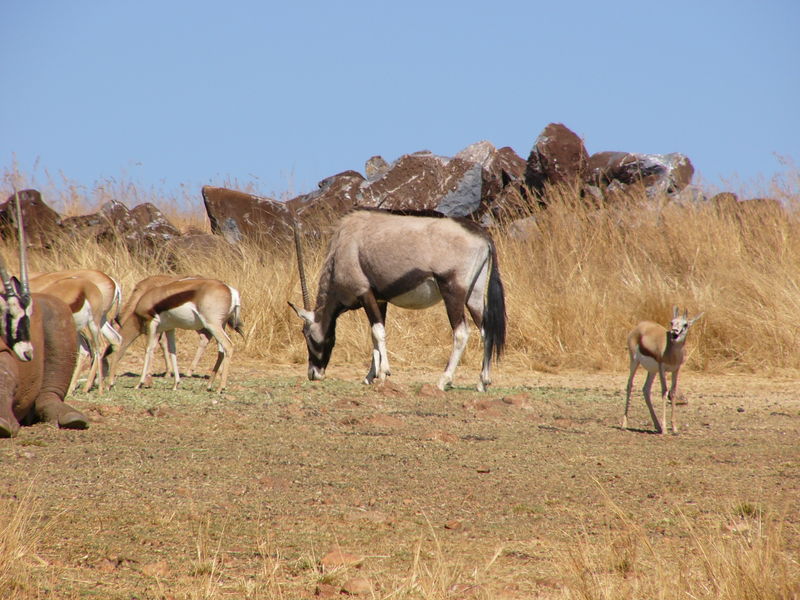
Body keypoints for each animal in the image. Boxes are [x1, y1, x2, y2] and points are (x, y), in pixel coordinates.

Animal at [106, 278, 244, 392]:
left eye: (111, 348)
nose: (109, 383)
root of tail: (231, 291)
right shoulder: (170, 328)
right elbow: (173, 351)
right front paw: (176, 384)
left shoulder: (152, 324)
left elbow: (149, 350)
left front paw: (139, 383)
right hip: (221, 325)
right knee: (221, 351)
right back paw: (209, 385)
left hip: (212, 325)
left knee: (228, 346)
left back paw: (220, 388)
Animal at [290, 209, 506, 392]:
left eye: (307, 335)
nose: (313, 373)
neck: (343, 245)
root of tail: (482, 235)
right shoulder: (380, 300)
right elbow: (375, 335)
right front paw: (370, 375)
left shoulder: (365, 293)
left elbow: (377, 332)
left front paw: (383, 373)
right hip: (474, 295)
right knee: (486, 331)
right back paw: (483, 382)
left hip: (453, 291)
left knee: (461, 333)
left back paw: (443, 380)